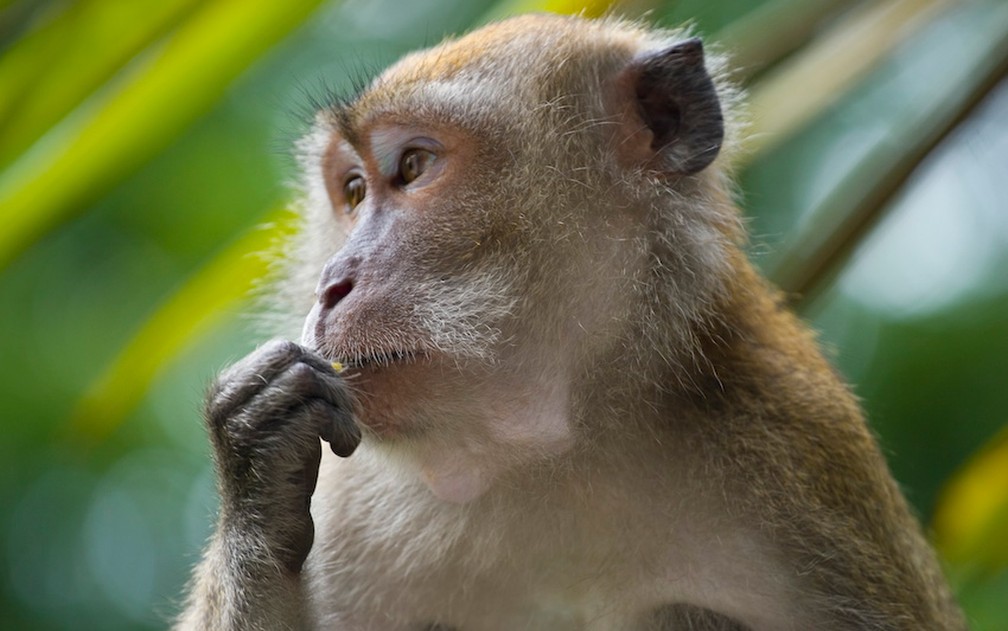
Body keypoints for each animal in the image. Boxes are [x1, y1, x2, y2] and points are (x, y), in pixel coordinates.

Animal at [176, 13, 966, 631]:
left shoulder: (799, 448)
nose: (332, 282)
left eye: (414, 167)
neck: (555, 448)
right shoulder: (354, 505)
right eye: (352, 189)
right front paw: (256, 465)